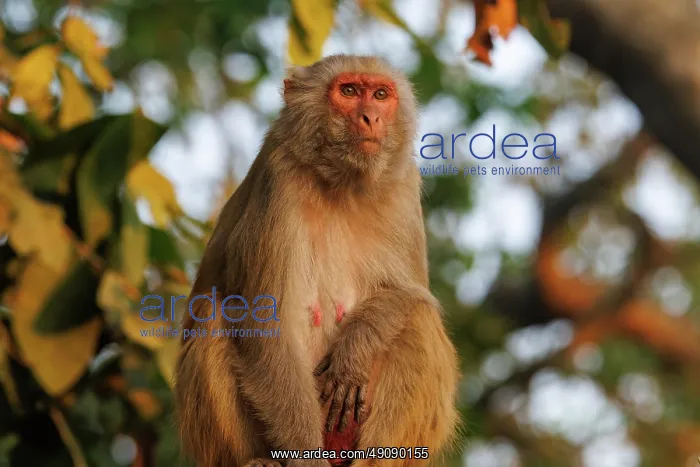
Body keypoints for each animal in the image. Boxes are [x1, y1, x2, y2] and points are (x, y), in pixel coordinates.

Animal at [174, 54, 460, 467]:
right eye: (349, 91)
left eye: (380, 94)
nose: (370, 117)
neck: (342, 183)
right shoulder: (278, 181)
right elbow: (264, 327)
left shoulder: (404, 183)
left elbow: (411, 293)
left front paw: (355, 347)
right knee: (215, 314)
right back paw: (255, 460)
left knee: (418, 322)